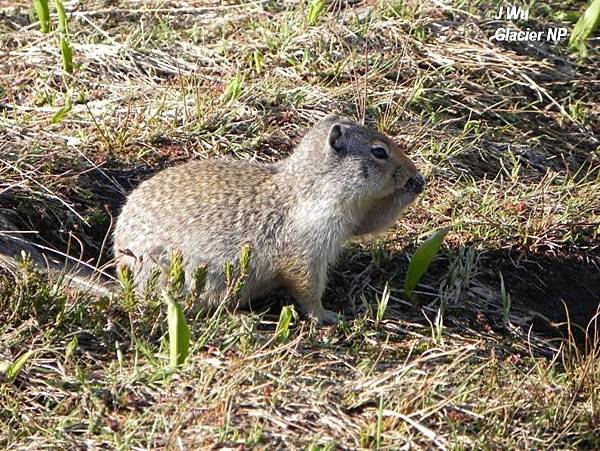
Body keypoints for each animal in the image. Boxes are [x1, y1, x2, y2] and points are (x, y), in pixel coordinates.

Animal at [111, 115, 422, 324]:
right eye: (379, 152)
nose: (412, 171)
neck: (312, 186)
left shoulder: (354, 216)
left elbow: (371, 223)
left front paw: (416, 183)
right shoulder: (305, 246)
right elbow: (306, 286)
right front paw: (325, 315)